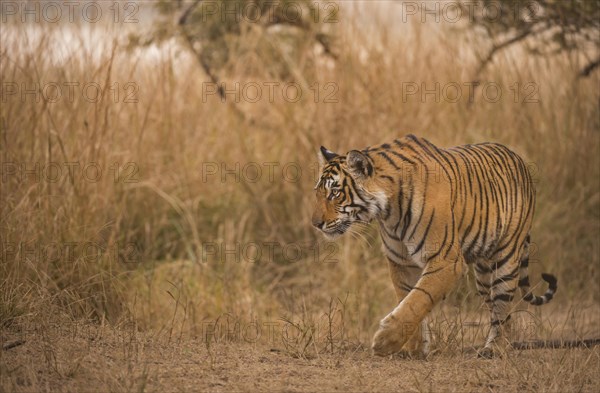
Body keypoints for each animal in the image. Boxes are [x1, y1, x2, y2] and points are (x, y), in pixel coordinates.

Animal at [314, 133, 556, 356]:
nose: (316, 224)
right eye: (318, 192)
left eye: (335, 193)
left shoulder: (446, 259)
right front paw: (411, 349)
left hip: (505, 258)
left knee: (503, 307)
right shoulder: (401, 262)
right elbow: (406, 298)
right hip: (483, 273)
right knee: (499, 311)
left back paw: (495, 349)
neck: (389, 213)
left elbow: (418, 299)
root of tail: (517, 157)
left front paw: (385, 342)